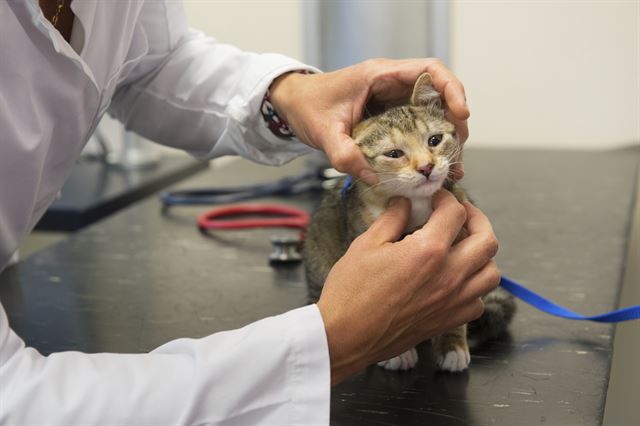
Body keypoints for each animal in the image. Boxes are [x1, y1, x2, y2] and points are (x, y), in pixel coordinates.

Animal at [302, 73, 516, 372]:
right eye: (394, 154)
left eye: (435, 140)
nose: (426, 167)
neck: (418, 208)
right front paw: (395, 353)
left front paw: (452, 344)